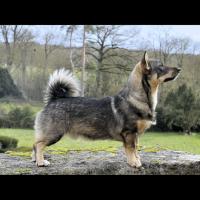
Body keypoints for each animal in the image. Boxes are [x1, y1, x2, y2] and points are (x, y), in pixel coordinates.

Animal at [31, 51, 181, 167]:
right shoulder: (129, 133)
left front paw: (136, 160)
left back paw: (36, 160)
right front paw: (134, 163)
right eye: (161, 67)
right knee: (38, 145)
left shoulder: (135, 135)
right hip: (54, 134)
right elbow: (131, 150)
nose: (179, 69)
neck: (137, 98)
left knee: (35, 144)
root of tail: (54, 99)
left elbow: (135, 150)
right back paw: (41, 162)